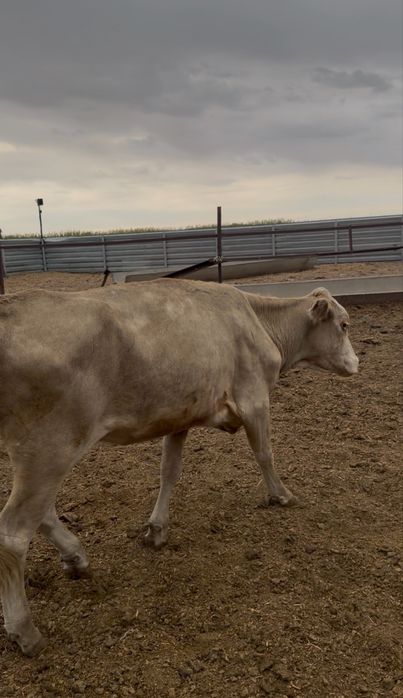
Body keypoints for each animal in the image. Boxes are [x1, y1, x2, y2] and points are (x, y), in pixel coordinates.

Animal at [0, 279, 358, 655]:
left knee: (42, 513)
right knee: (14, 531)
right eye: (344, 324)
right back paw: (24, 630)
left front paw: (157, 529)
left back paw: (75, 557)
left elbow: (169, 471)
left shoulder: (179, 415)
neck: (257, 320)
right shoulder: (254, 400)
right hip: (49, 448)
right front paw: (282, 495)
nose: (356, 362)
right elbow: (264, 453)